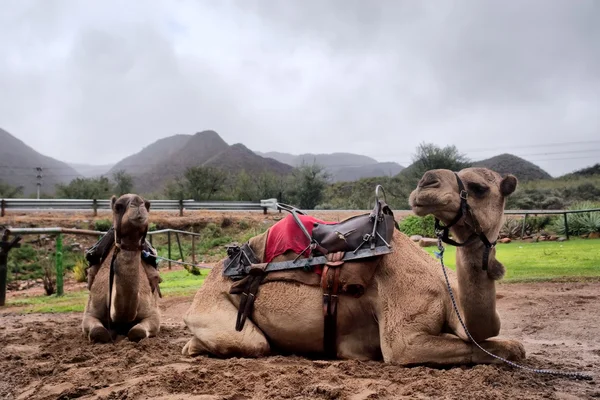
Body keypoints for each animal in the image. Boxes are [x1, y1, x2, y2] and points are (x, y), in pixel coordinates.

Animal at [83, 195, 162, 344]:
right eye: (118, 207)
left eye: (147, 205)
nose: (137, 202)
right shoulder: (90, 312)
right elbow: (98, 331)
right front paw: (111, 333)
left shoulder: (153, 314)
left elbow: (138, 332)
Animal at [183, 167, 524, 368]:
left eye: (479, 187)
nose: (427, 182)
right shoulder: (403, 340)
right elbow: (491, 348)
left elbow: (511, 347)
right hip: (214, 309)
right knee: (252, 343)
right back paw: (192, 348)